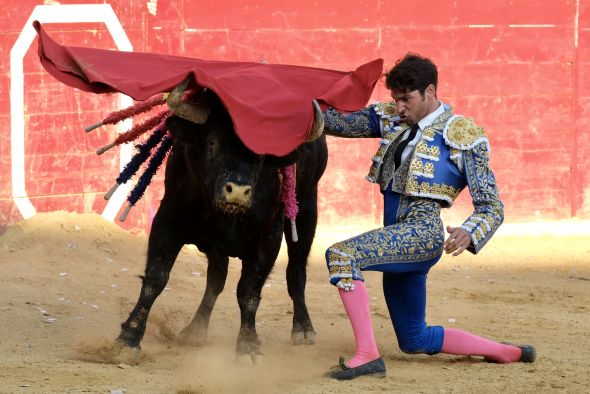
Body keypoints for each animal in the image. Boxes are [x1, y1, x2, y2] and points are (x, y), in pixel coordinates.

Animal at [115, 78, 328, 358]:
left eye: (263, 153)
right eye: (213, 143)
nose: (237, 191)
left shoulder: (268, 238)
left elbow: (249, 290)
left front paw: (248, 346)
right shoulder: (167, 222)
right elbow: (155, 278)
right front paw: (128, 338)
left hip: (307, 211)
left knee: (296, 270)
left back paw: (303, 329)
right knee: (216, 278)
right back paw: (195, 329)